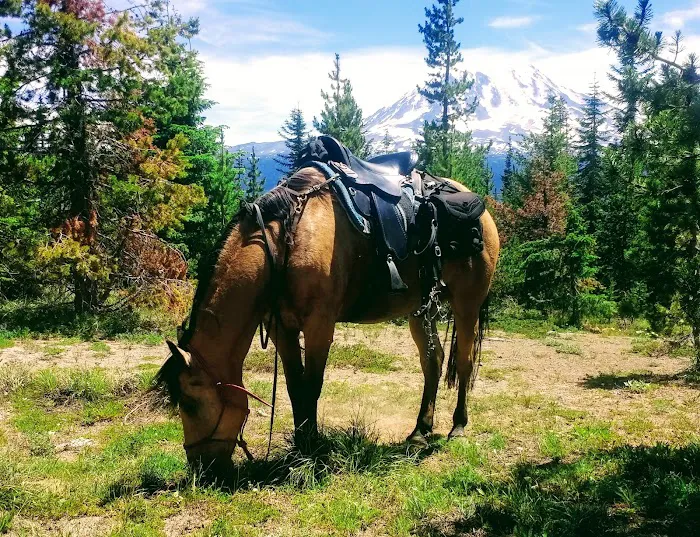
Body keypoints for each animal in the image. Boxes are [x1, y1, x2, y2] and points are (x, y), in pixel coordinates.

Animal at [156, 166, 500, 473]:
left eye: (190, 403)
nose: (200, 466)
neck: (285, 242)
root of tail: (483, 213)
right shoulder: (282, 329)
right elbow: (295, 386)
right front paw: (300, 444)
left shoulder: (319, 325)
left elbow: (313, 384)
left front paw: (313, 446)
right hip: (421, 308)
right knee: (433, 361)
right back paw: (420, 431)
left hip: (467, 304)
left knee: (465, 361)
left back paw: (458, 426)